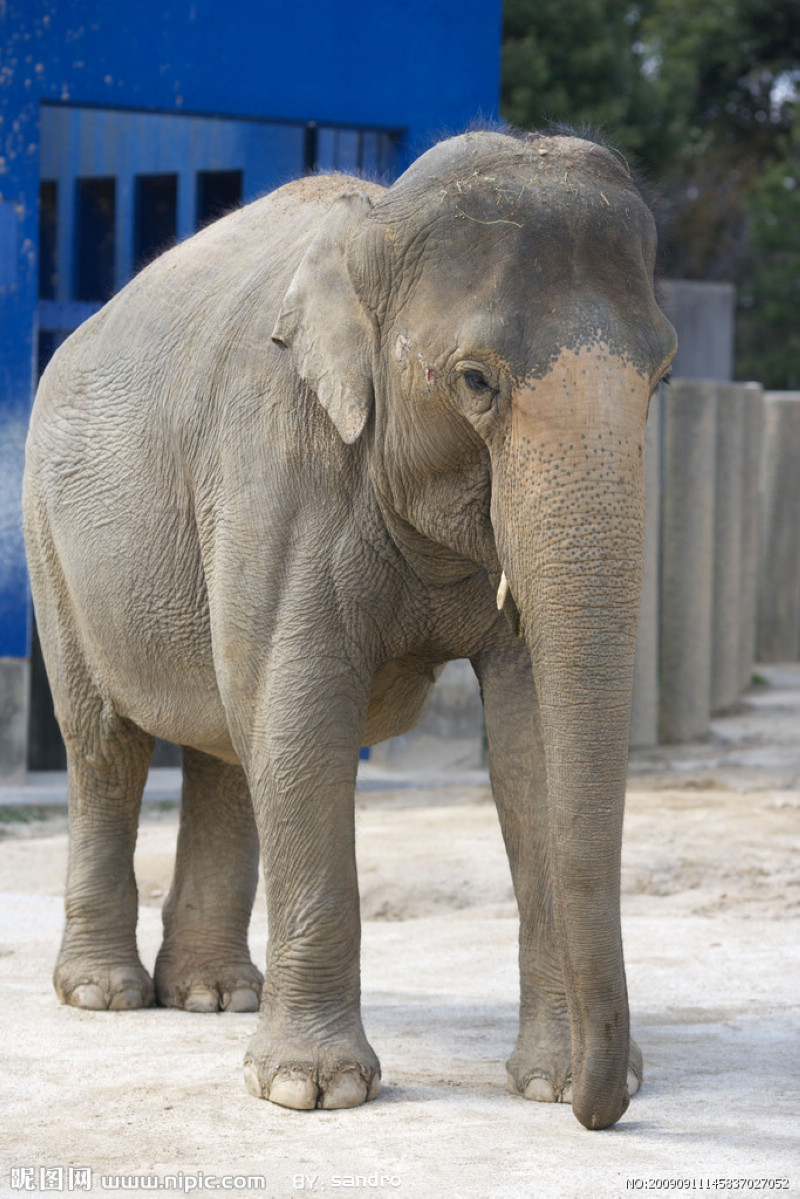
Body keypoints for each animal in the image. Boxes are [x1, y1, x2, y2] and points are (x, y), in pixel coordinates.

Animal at [23, 128, 676, 1131]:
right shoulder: (278, 461)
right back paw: (105, 994)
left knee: (225, 742)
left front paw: (550, 1082)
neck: (379, 224)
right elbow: (303, 712)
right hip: (49, 538)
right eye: (475, 380)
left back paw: (214, 996)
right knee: (106, 744)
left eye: (662, 378)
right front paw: (312, 1092)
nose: (605, 1106)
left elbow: (529, 737)